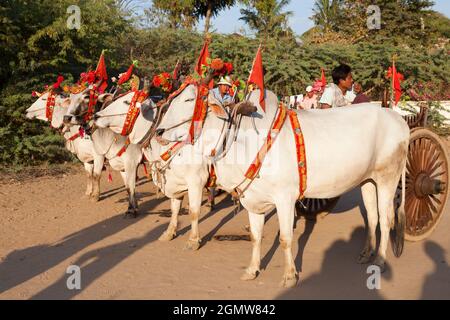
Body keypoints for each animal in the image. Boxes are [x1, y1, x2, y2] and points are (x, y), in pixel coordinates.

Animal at [156, 85, 410, 288]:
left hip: (388, 178)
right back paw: (366, 253)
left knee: (386, 219)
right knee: (373, 217)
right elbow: (255, 237)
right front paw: (252, 269)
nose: (159, 131)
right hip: (368, 181)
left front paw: (290, 276)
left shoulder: (285, 199)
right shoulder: (252, 201)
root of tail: (399, 120)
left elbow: (286, 238)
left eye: (189, 100)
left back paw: (380, 260)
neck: (242, 141)